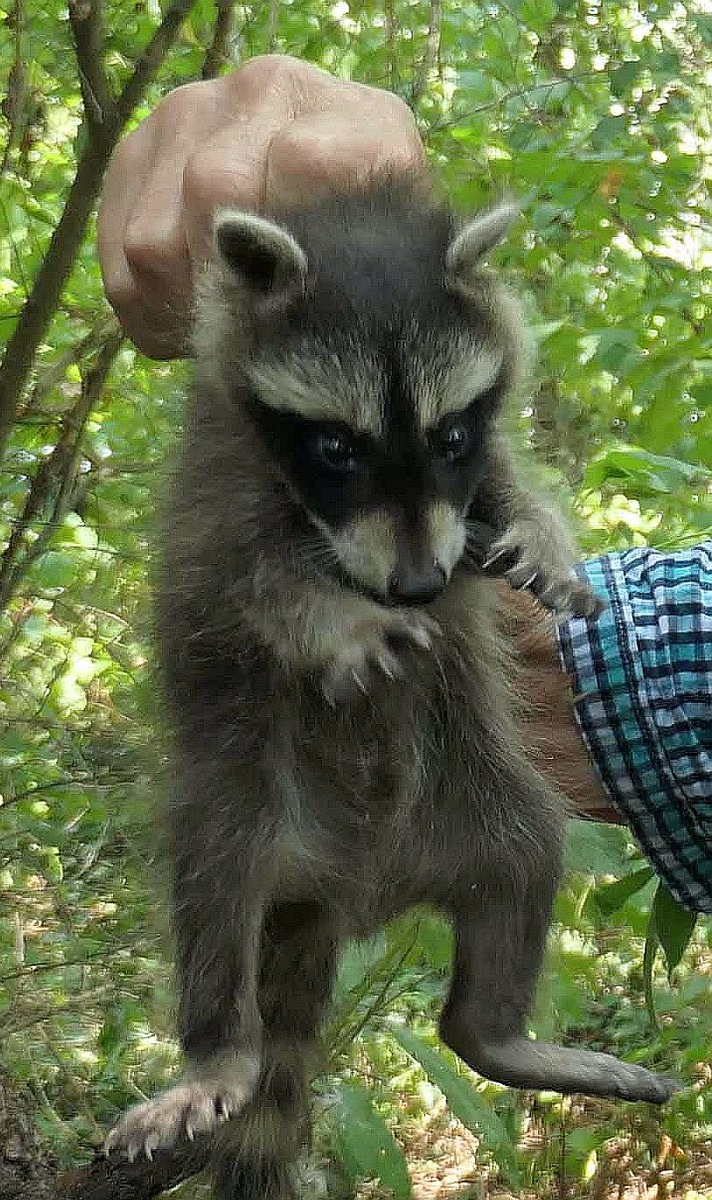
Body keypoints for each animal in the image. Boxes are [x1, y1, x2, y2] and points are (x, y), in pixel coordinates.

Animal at [103, 180, 672, 1200]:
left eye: (451, 435)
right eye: (337, 444)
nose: (414, 587)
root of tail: (348, 889)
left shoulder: (479, 473)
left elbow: (517, 498)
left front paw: (542, 539)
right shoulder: (224, 485)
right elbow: (258, 586)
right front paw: (342, 620)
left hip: (487, 802)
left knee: (527, 860)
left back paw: (493, 1031)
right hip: (239, 810)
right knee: (214, 894)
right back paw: (219, 1050)